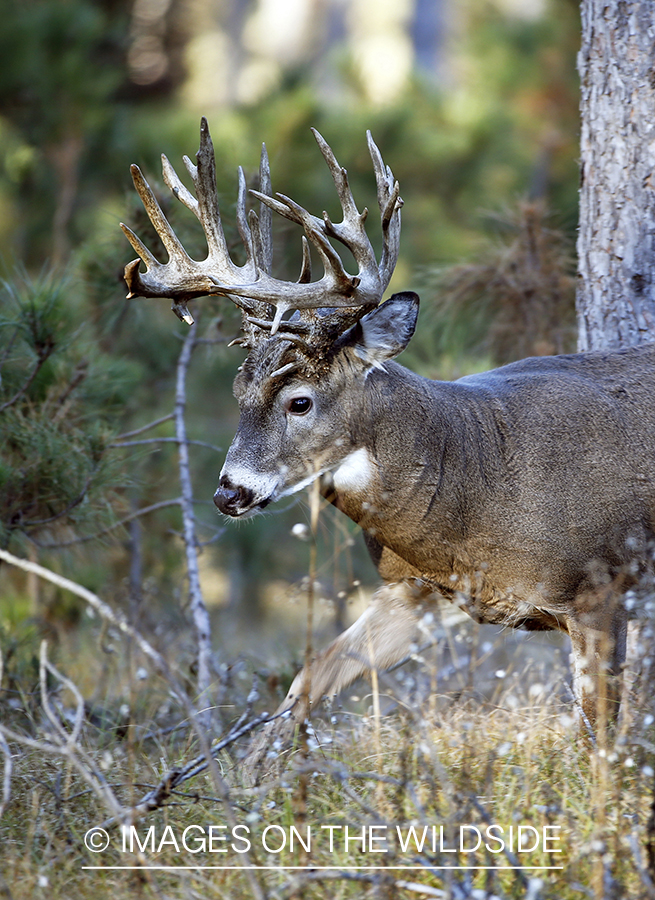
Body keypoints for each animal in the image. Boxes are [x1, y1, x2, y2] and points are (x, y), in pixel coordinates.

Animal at [123, 118, 655, 780]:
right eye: (238, 389)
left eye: (299, 401)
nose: (228, 493)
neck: (474, 474)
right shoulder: (418, 592)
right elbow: (309, 678)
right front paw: (251, 783)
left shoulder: (600, 588)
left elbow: (602, 744)